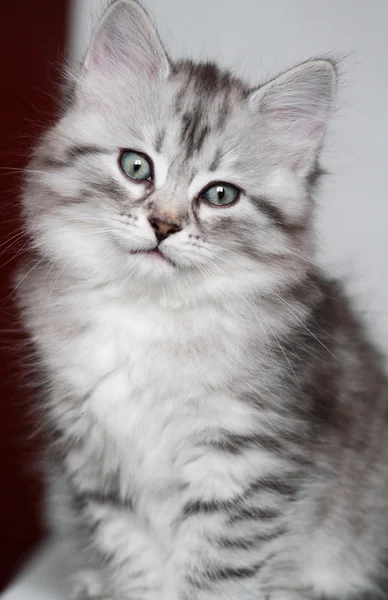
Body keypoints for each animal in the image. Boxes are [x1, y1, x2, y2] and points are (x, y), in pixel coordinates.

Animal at [17, 1, 388, 600]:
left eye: (219, 194)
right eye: (136, 166)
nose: (164, 226)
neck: (148, 315)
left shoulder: (245, 463)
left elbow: (218, 574)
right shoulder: (96, 463)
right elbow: (134, 560)